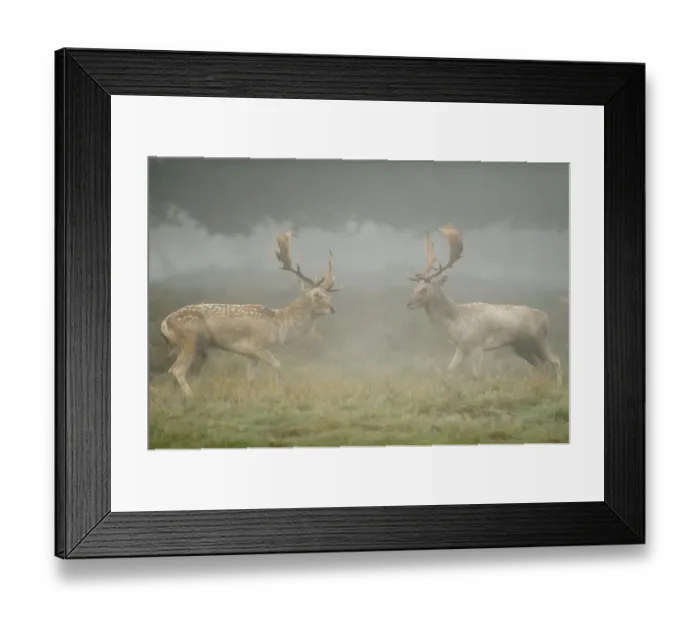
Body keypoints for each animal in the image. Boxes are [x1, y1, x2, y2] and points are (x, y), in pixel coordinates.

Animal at [160, 231, 342, 396]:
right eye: (317, 295)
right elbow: (278, 366)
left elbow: (251, 378)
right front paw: (279, 390)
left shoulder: (250, 354)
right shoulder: (257, 345)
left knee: (171, 370)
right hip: (191, 341)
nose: (332, 308)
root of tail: (164, 323)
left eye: (328, 296)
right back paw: (190, 396)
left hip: (182, 346)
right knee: (178, 371)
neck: (279, 325)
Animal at [406, 224, 563, 385]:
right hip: (521, 346)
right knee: (543, 366)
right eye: (415, 288)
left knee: (555, 360)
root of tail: (546, 318)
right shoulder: (461, 348)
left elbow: (476, 375)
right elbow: (449, 370)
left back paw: (558, 385)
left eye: (424, 289)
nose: (409, 303)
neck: (455, 322)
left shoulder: (478, 345)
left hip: (539, 339)